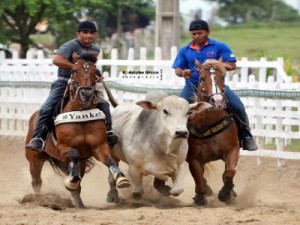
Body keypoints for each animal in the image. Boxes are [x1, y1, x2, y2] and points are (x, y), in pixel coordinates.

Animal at [24, 52, 129, 207]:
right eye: (74, 70)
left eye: (95, 72)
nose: (86, 94)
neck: (80, 112)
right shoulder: (62, 148)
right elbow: (74, 155)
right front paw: (71, 180)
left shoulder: (99, 146)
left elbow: (109, 160)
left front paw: (121, 177)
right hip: (34, 158)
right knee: (36, 181)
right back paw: (40, 199)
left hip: (81, 162)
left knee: (77, 185)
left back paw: (79, 204)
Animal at [186, 59, 240, 206]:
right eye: (202, 78)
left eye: (223, 77)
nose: (217, 101)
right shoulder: (193, 158)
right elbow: (199, 179)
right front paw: (200, 197)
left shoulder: (233, 150)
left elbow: (229, 172)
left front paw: (226, 193)